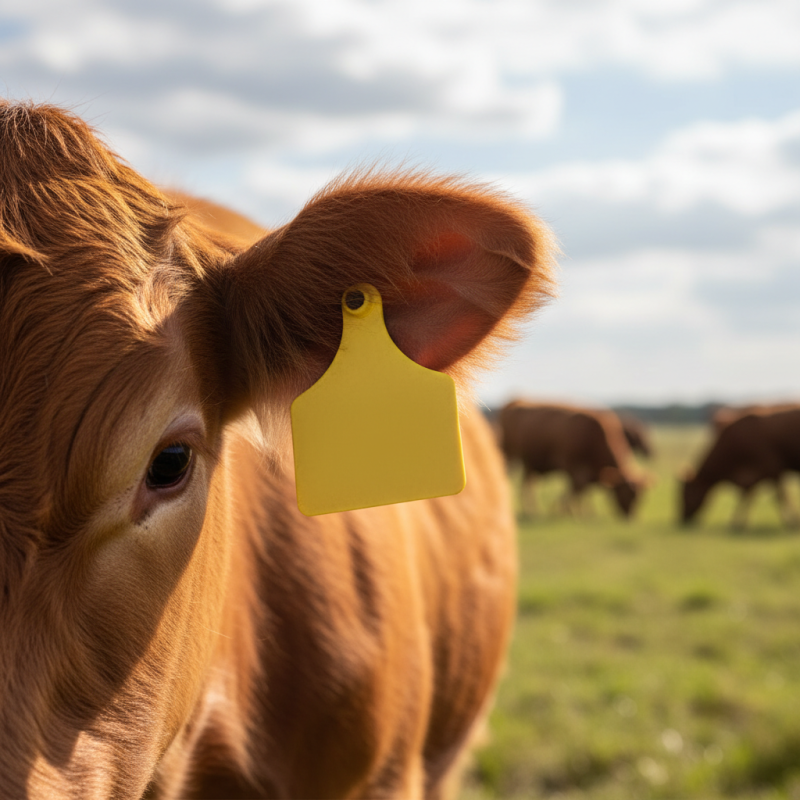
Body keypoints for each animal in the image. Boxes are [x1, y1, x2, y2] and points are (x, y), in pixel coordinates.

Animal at [499, 401, 645, 519]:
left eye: (639, 497)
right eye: (627, 493)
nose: (630, 516)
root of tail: (514, 405)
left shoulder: (588, 473)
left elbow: (581, 492)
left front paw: (584, 513)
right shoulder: (574, 468)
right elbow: (575, 491)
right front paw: (573, 512)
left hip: (529, 464)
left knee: (527, 484)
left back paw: (531, 510)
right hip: (511, 455)